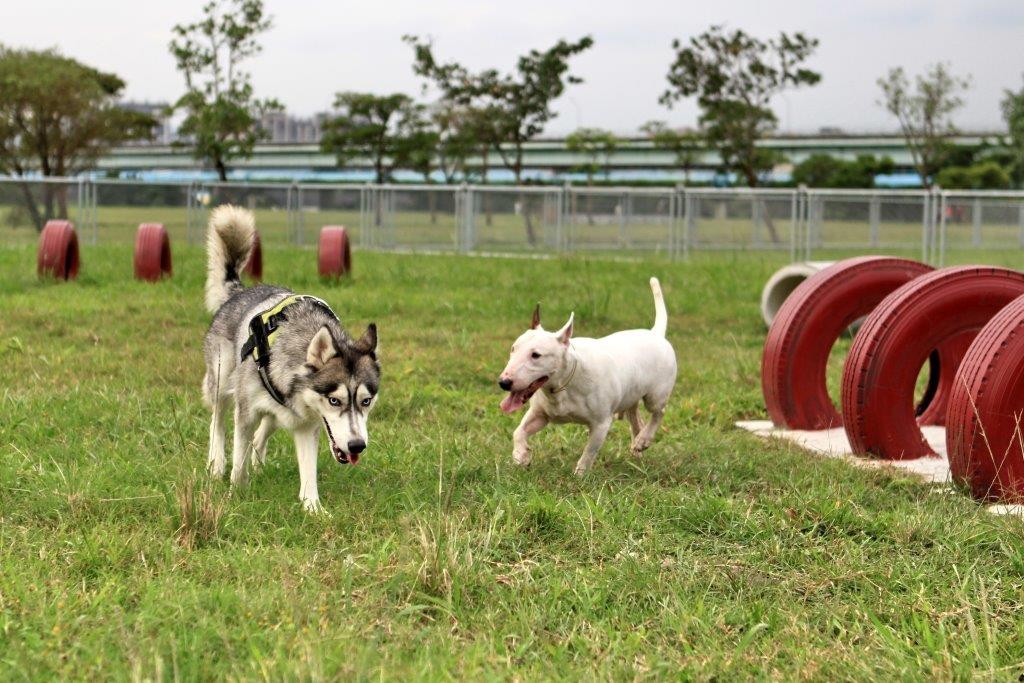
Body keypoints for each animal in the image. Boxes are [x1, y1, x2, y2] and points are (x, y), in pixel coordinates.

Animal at [199, 205, 380, 516]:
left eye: (366, 401)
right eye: (335, 401)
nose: (357, 445)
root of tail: (242, 291)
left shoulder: (306, 425)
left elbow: (308, 473)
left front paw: (313, 509)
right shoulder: (246, 412)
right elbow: (239, 459)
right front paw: (237, 492)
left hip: (277, 414)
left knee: (261, 435)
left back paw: (258, 465)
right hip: (222, 383)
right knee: (218, 422)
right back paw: (216, 464)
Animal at [497, 278, 675, 475]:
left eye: (536, 355)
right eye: (513, 349)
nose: (504, 382)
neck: (563, 385)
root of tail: (655, 333)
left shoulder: (601, 423)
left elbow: (590, 451)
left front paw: (580, 475)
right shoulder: (540, 415)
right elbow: (518, 431)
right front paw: (521, 455)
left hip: (655, 395)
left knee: (659, 412)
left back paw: (644, 438)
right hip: (632, 392)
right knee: (635, 416)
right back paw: (639, 445)